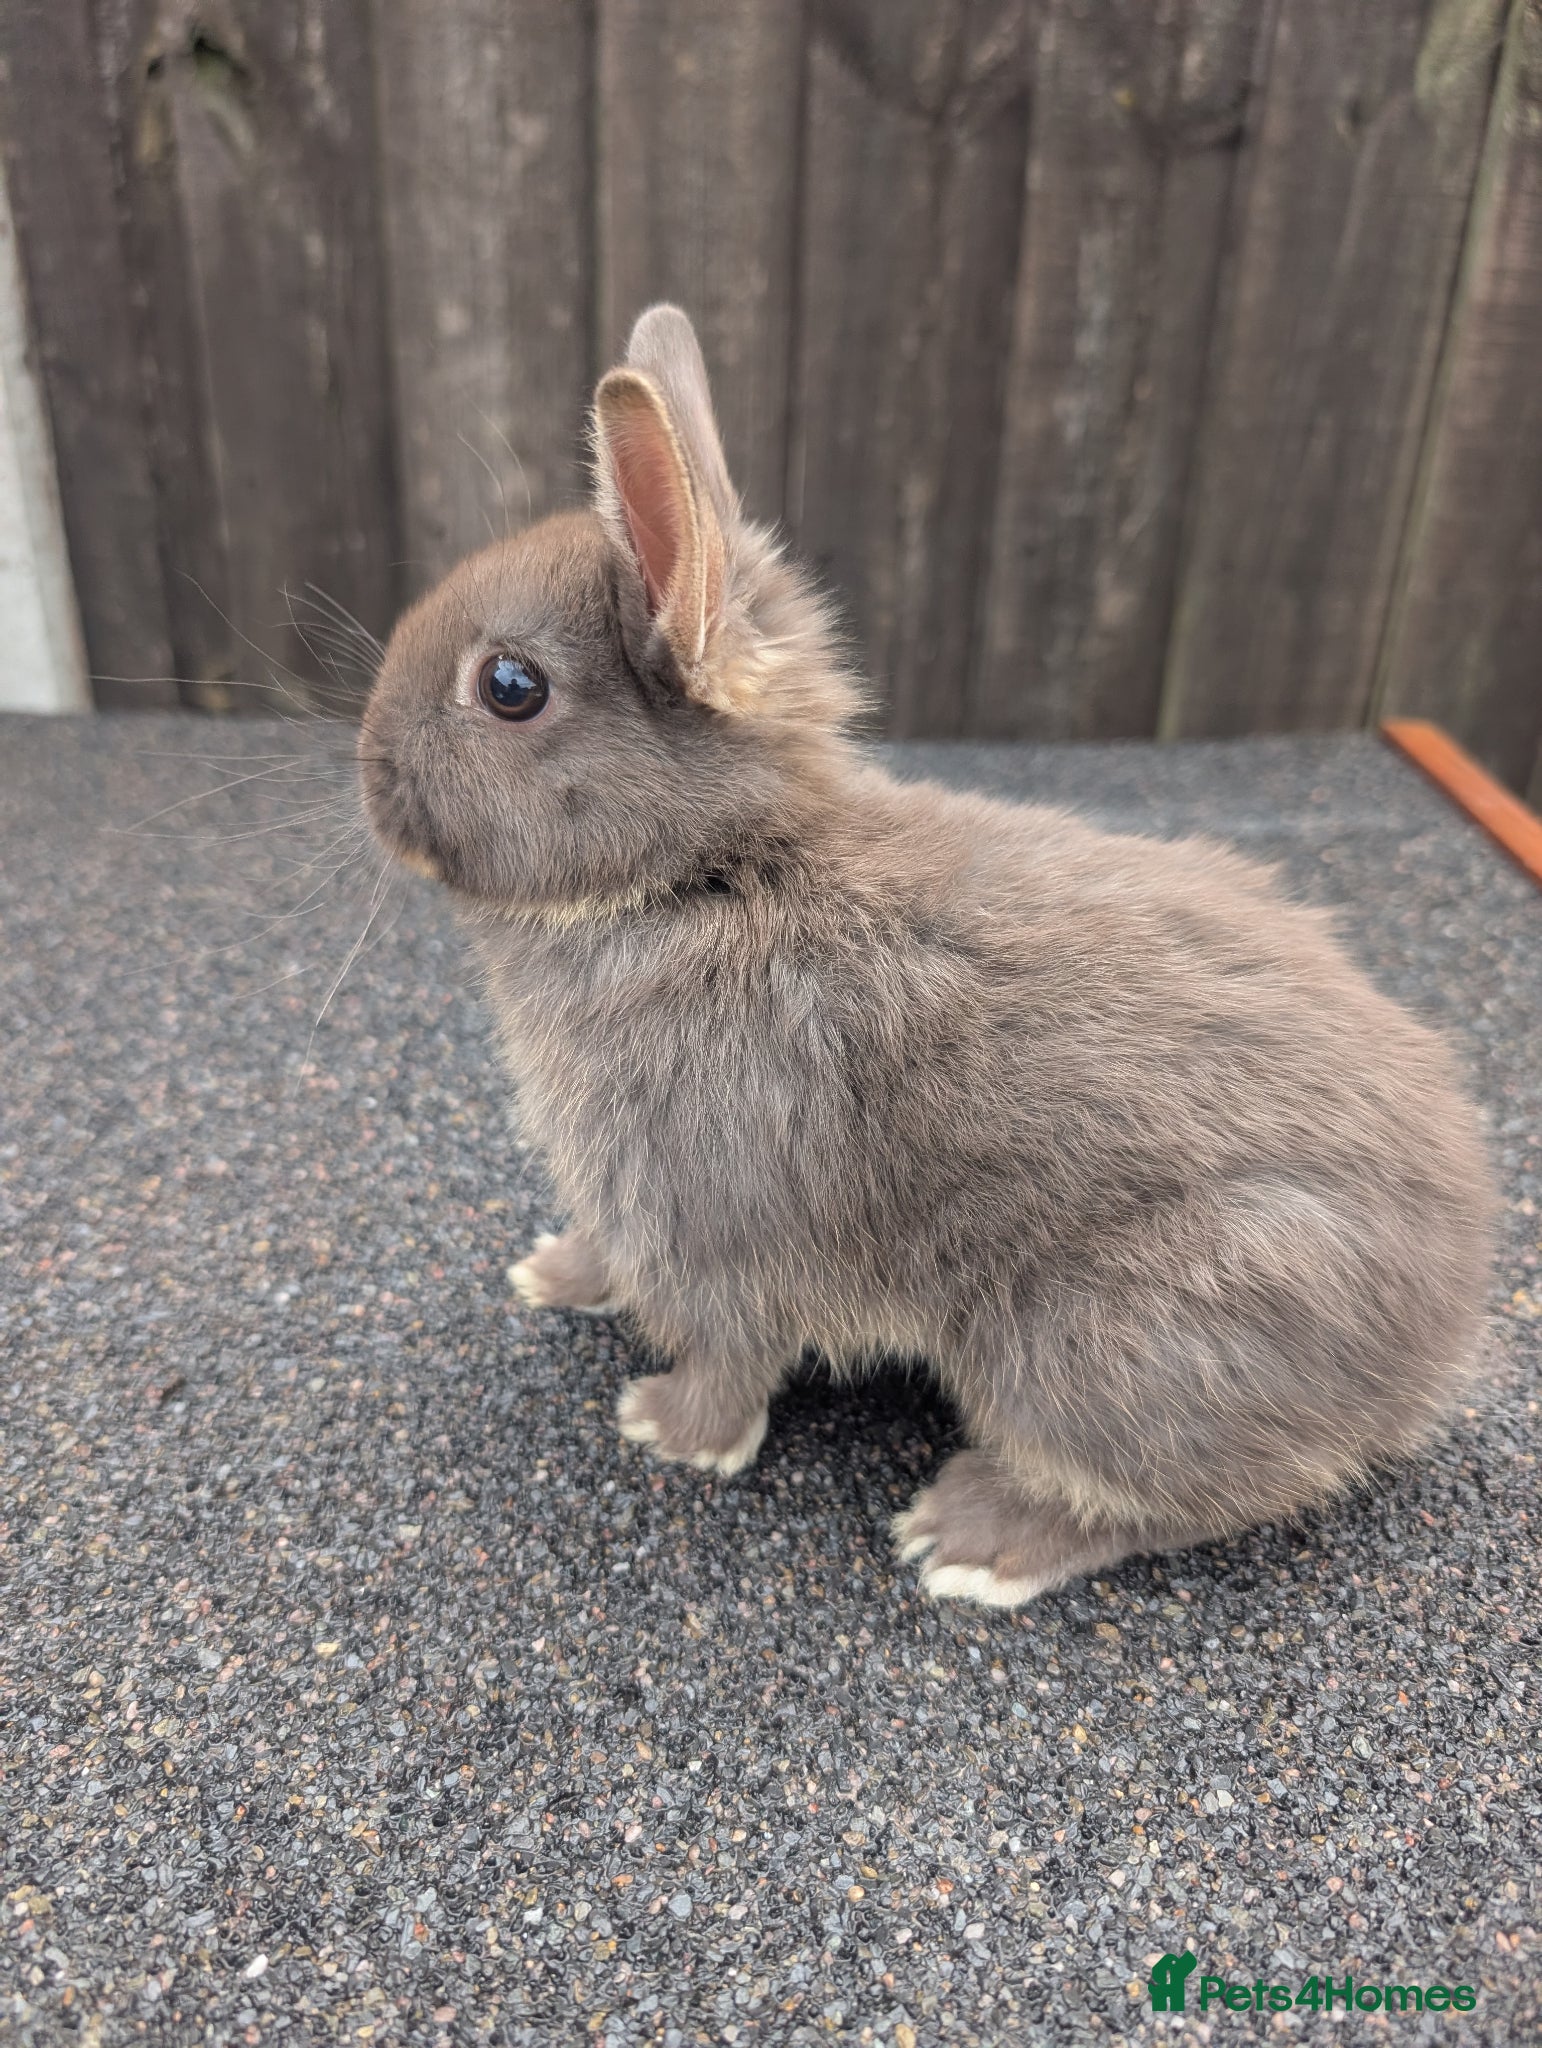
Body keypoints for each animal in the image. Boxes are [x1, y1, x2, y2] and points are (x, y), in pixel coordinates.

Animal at [358, 303, 1496, 1608]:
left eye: (510, 686)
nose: (368, 771)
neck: (715, 874)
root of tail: (1435, 1342)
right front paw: (557, 1273)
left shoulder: (713, 1213)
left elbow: (731, 1349)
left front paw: (669, 1428)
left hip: (1107, 1342)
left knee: (1172, 1498)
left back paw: (968, 1536)